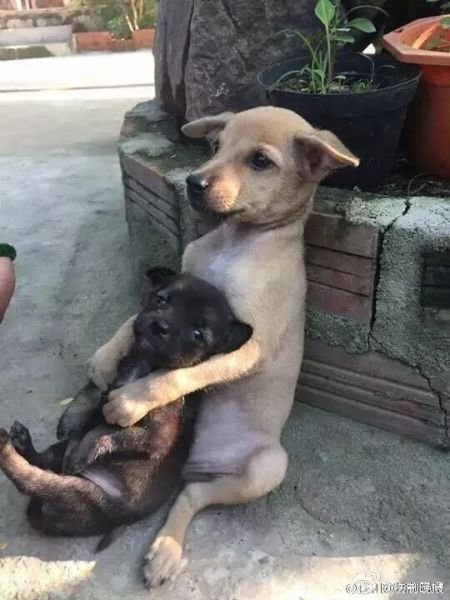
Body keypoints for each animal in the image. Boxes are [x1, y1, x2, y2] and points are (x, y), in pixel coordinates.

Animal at [0, 270, 251, 548]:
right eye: (161, 299)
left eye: (198, 334)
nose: (160, 326)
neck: (144, 364)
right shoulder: (109, 390)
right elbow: (90, 397)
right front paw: (71, 420)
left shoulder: (154, 438)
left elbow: (108, 433)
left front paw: (84, 451)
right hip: (61, 458)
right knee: (44, 460)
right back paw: (23, 442)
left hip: (84, 495)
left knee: (32, 479)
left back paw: (9, 449)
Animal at [86, 106, 356, 584]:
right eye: (216, 145)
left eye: (260, 161)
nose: (194, 182)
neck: (234, 242)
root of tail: (200, 464)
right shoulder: (174, 286)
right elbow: (134, 319)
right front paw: (107, 356)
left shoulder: (251, 345)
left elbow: (181, 373)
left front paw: (131, 401)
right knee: (189, 493)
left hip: (267, 467)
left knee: (193, 496)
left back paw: (168, 549)